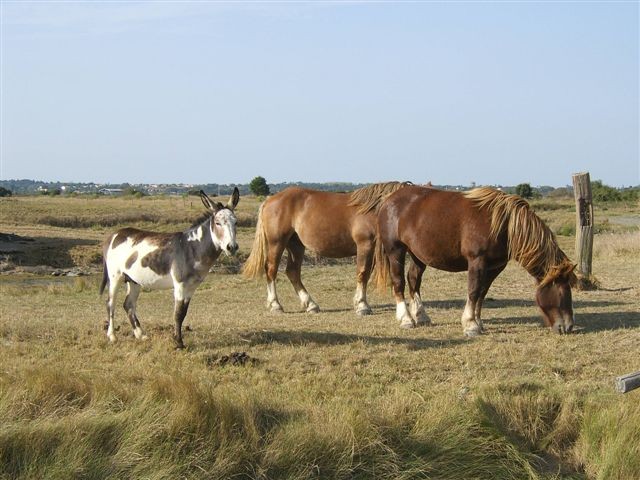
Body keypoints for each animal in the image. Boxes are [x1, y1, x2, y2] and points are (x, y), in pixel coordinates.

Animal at [242, 182, 408, 314]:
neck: (374, 210)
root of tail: (270, 200)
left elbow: (365, 274)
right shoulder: (365, 245)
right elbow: (363, 273)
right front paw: (362, 306)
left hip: (296, 245)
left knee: (292, 272)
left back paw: (311, 305)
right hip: (277, 242)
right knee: (271, 269)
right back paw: (276, 305)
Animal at [378, 186, 576, 336]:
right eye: (562, 292)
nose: (568, 327)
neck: (503, 224)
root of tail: (389, 199)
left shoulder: (495, 267)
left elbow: (482, 293)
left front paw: (478, 322)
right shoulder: (477, 261)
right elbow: (473, 291)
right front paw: (470, 325)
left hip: (418, 255)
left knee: (414, 280)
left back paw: (421, 316)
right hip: (395, 250)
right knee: (399, 282)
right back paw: (406, 319)